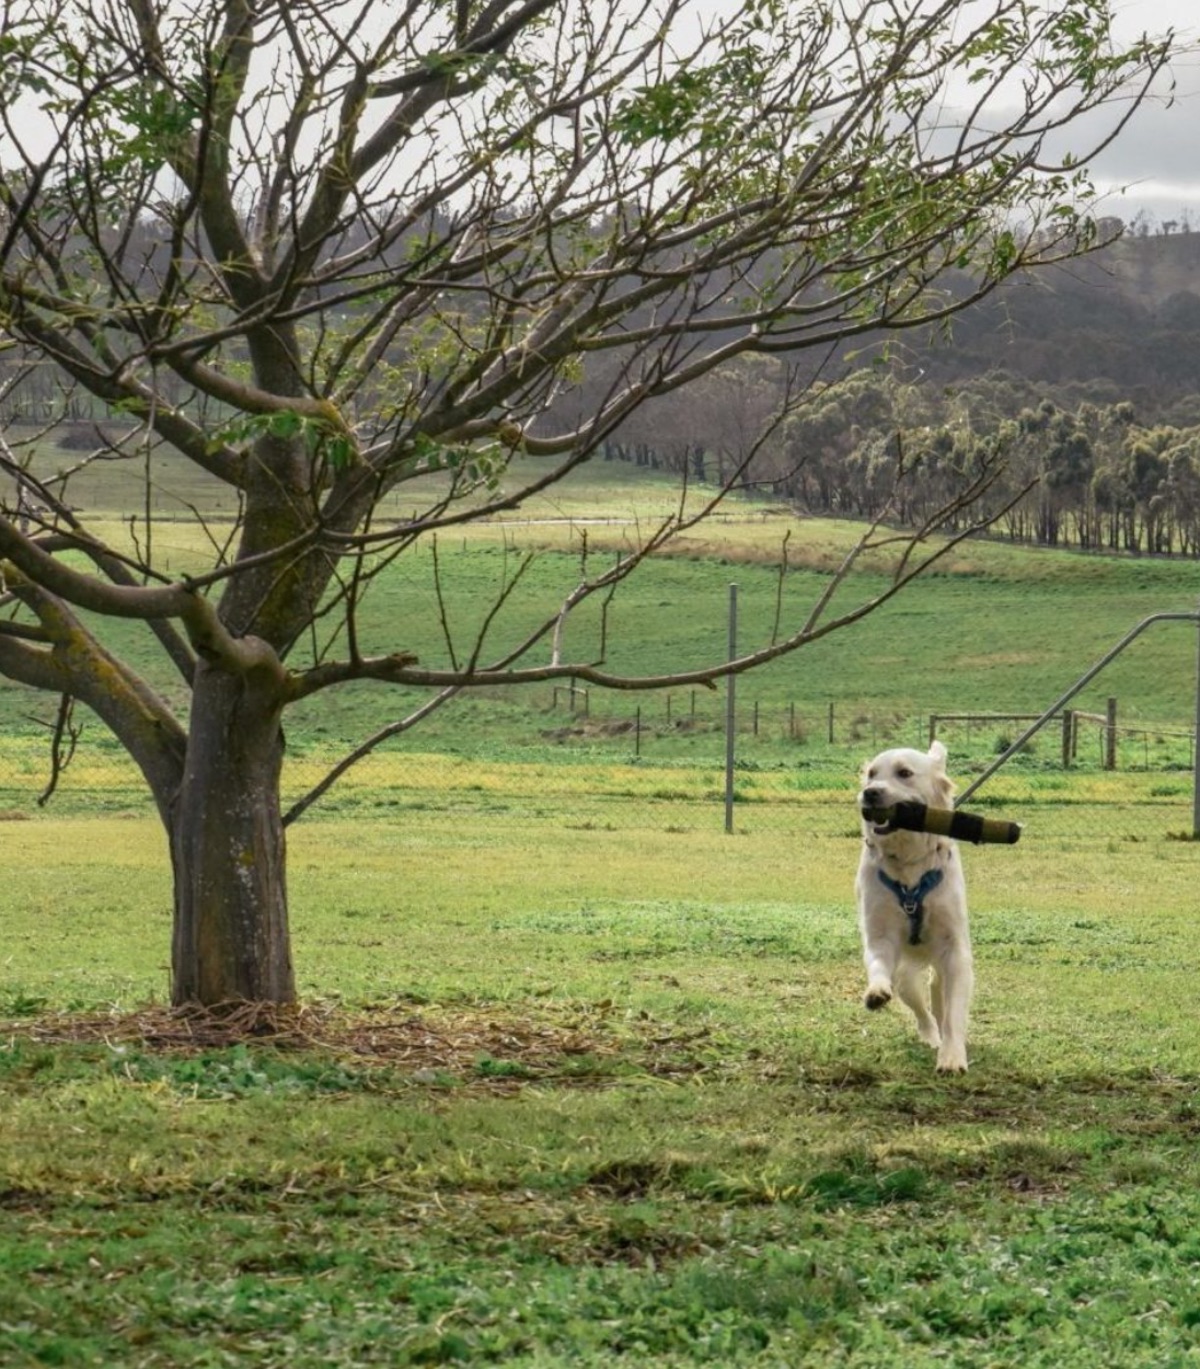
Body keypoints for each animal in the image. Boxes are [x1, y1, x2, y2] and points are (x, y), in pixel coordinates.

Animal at [853, 744, 974, 1073]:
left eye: (904, 773)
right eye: (871, 774)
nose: (870, 793)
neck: (909, 867)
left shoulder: (955, 951)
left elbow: (955, 1013)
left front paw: (952, 1056)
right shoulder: (880, 935)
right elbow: (878, 964)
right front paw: (876, 992)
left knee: (940, 997)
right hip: (907, 977)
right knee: (922, 1009)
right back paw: (930, 1035)